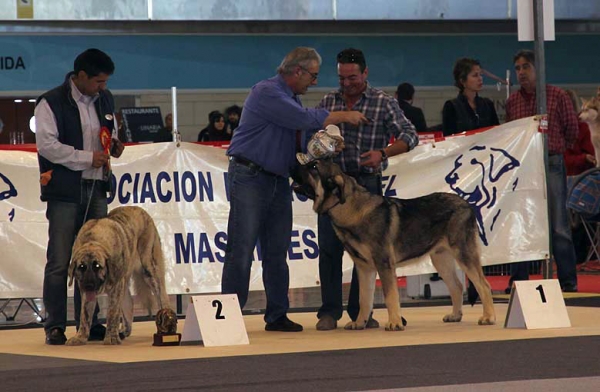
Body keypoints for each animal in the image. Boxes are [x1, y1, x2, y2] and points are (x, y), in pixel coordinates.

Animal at [67, 207, 171, 344]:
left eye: (97, 266)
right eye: (81, 267)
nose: (89, 285)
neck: (94, 241)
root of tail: (142, 211)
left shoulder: (116, 288)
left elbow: (112, 313)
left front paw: (111, 338)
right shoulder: (86, 292)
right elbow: (85, 315)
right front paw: (80, 337)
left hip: (149, 270)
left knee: (162, 297)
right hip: (126, 280)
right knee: (129, 303)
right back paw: (124, 330)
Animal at [296, 161, 496, 332]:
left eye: (314, 167)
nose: (293, 164)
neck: (350, 208)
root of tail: (467, 204)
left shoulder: (383, 264)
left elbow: (390, 296)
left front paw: (394, 323)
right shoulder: (364, 268)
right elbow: (364, 299)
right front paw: (360, 323)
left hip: (463, 253)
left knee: (483, 285)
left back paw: (489, 318)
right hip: (441, 259)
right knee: (457, 286)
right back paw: (455, 315)